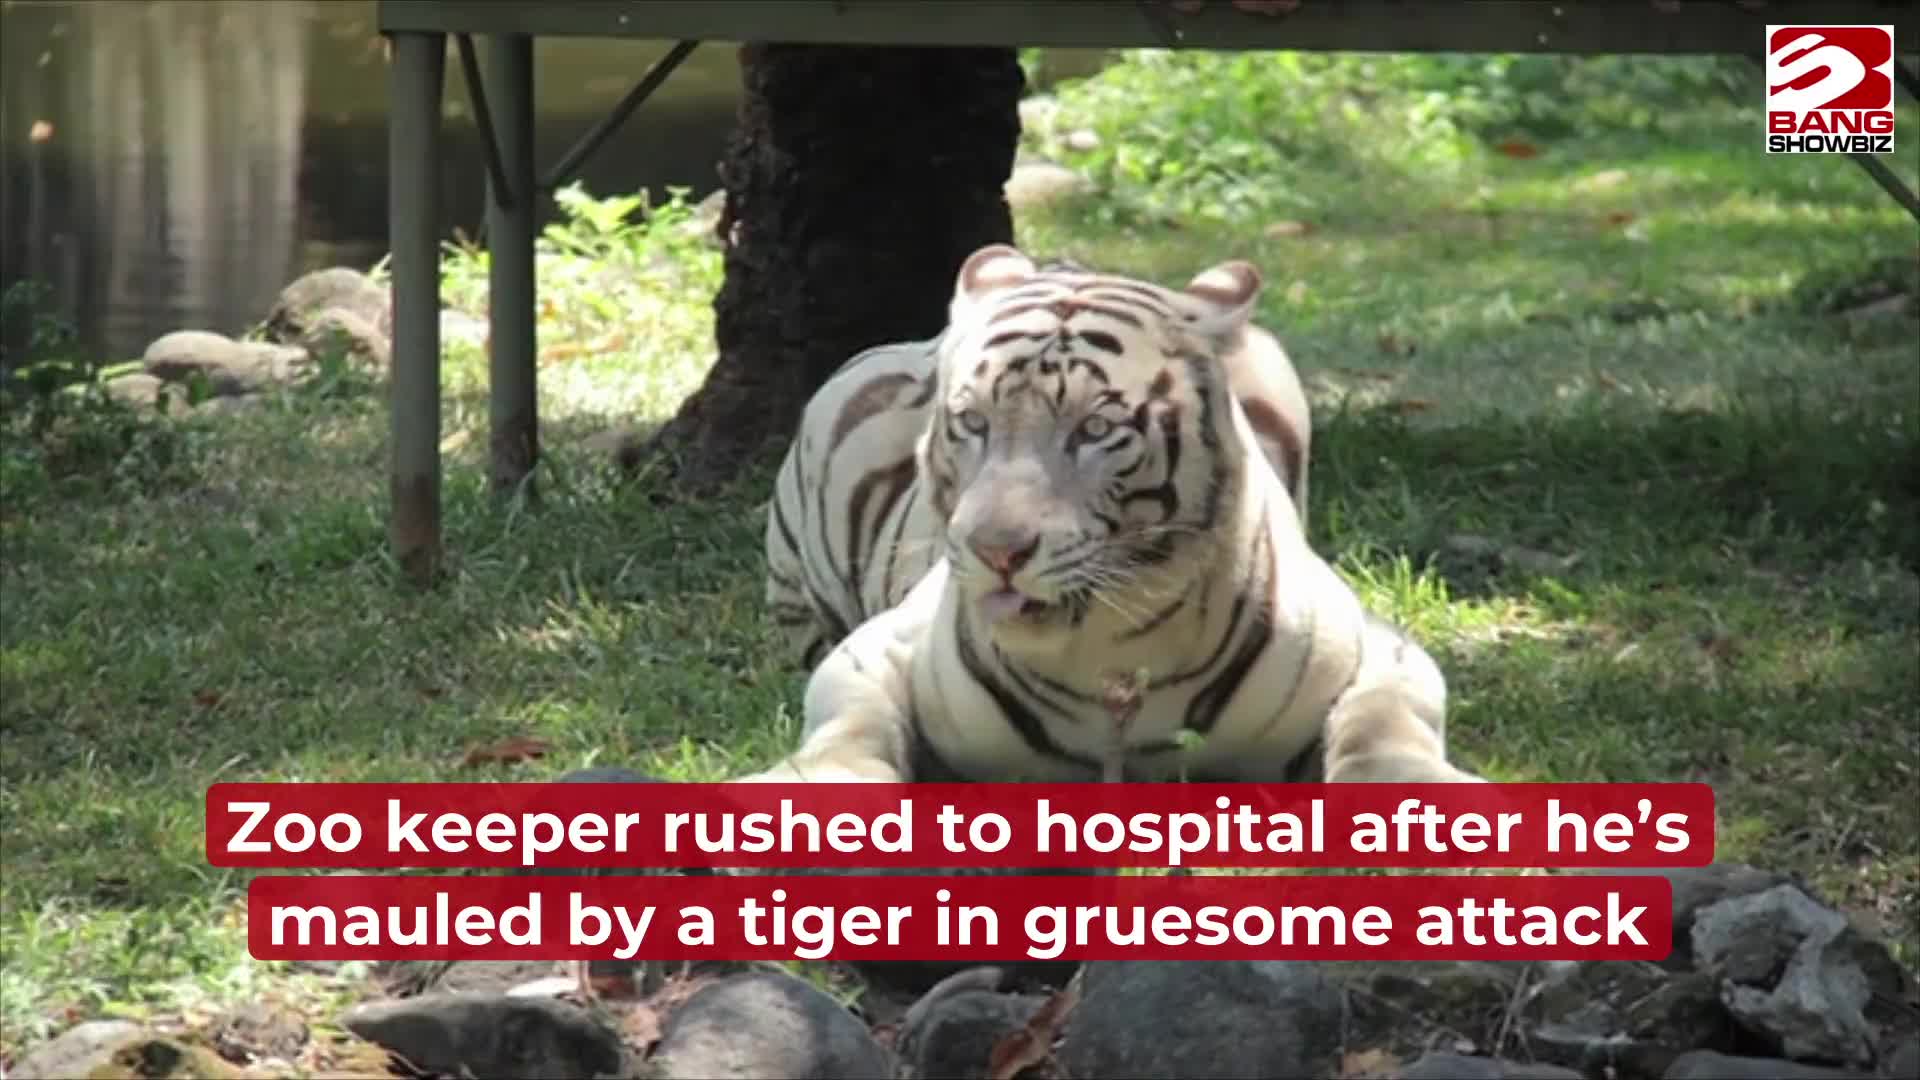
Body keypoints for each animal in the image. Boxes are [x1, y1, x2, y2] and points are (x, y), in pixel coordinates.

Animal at [741, 244, 1474, 780]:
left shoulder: (1385, 648)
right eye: (972, 422)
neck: (1115, 646)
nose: (996, 552)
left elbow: (1383, 724)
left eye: (1094, 429)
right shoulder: (873, 650)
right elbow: (850, 722)